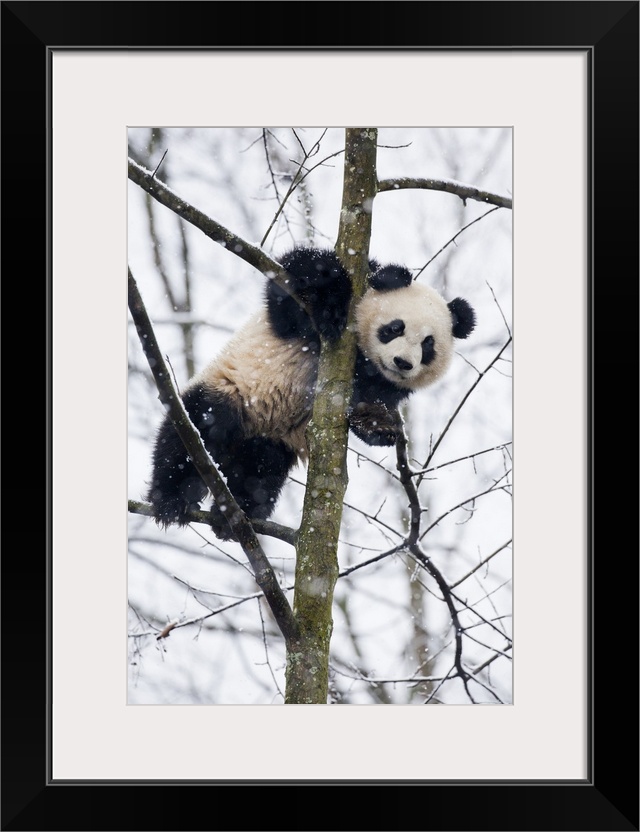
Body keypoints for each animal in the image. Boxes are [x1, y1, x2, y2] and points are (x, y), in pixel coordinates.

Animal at [146, 245, 476, 540]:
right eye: (395, 328)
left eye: (428, 345)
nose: (403, 363)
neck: (363, 358)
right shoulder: (295, 318)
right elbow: (296, 282)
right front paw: (332, 306)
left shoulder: (381, 384)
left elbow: (369, 402)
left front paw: (378, 425)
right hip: (232, 390)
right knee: (194, 431)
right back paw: (171, 500)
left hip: (271, 438)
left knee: (260, 470)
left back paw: (233, 516)